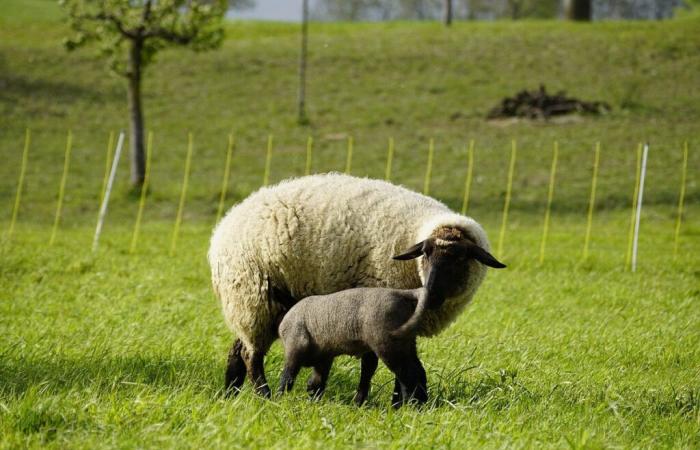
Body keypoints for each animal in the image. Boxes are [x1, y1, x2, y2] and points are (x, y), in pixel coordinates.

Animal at [208, 173, 492, 398]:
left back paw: (230, 393)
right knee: (251, 356)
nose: (431, 294)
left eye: (461, 259)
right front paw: (365, 400)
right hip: (253, 297)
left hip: (261, 303)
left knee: (238, 349)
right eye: (425, 254)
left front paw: (397, 402)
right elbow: (371, 363)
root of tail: (225, 225)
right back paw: (264, 395)